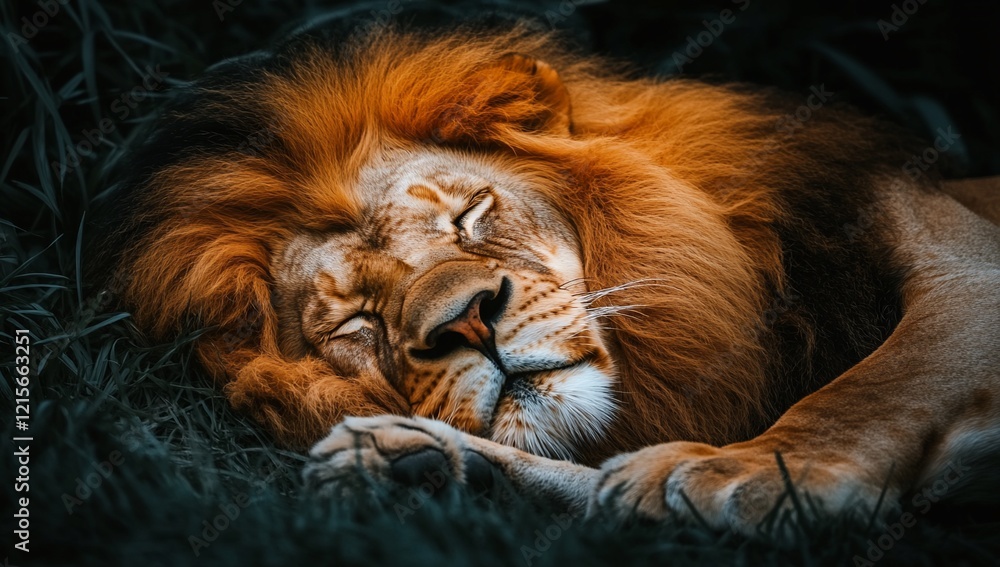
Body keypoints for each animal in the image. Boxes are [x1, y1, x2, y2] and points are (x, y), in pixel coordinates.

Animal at [94, 22, 1000, 534]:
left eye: (468, 216)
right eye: (355, 321)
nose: (465, 320)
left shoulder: (968, 265)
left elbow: (875, 383)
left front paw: (744, 470)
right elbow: (598, 490)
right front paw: (422, 462)